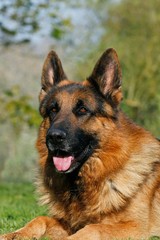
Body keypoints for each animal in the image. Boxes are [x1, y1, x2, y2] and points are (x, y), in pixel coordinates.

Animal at [0, 47, 160, 239]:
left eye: (82, 109)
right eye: (53, 110)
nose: (54, 137)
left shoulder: (134, 227)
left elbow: (93, 228)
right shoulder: (69, 223)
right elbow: (40, 219)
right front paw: (14, 234)